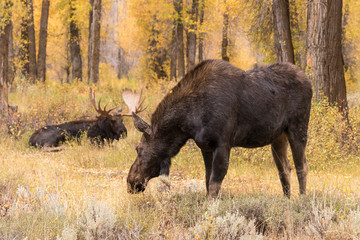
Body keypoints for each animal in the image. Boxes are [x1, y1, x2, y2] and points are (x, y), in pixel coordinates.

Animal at [126, 60, 312, 199]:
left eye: (138, 149)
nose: (130, 182)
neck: (187, 123)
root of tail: (309, 82)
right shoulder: (205, 146)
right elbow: (207, 181)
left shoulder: (223, 143)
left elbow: (215, 184)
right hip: (278, 137)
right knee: (285, 169)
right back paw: (286, 200)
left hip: (298, 128)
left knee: (301, 165)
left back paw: (301, 200)